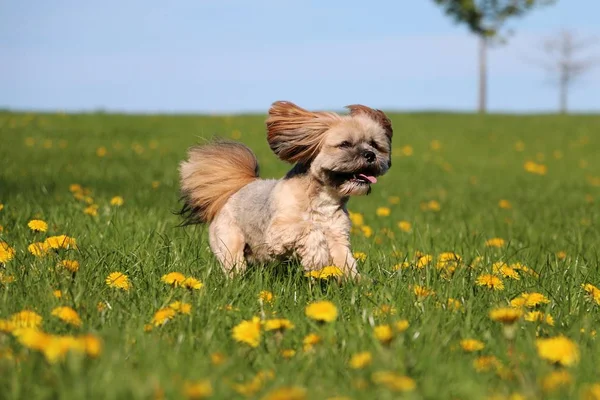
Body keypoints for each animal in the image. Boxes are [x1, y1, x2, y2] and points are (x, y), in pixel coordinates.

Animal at [178, 101, 394, 280]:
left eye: (374, 144)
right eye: (345, 144)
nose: (370, 155)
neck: (321, 200)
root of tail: (235, 191)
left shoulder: (338, 234)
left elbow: (344, 259)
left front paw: (354, 282)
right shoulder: (278, 231)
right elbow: (310, 229)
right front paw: (317, 259)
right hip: (230, 245)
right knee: (234, 266)